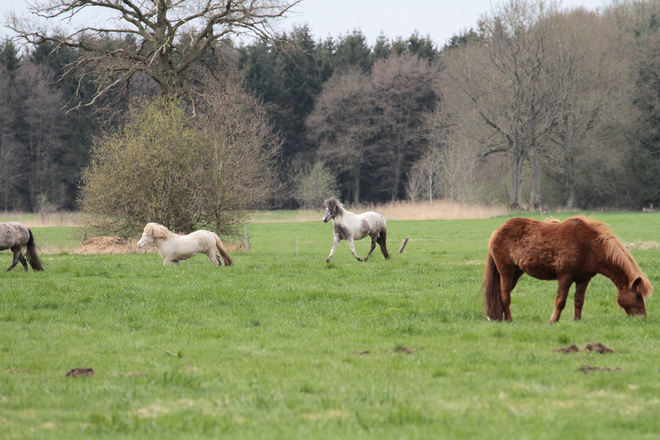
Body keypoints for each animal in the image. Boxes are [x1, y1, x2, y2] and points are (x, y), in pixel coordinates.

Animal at [482, 217, 652, 324]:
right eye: (637, 295)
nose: (642, 318)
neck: (589, 246)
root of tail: (497, 231)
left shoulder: (583, 279)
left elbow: (578, 301)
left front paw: (577, 320)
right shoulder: (565, 278)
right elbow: (560, 301)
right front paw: (553, 321)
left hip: (516, 272)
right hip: (506, 271)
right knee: (505, 296)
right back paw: (510, 320)